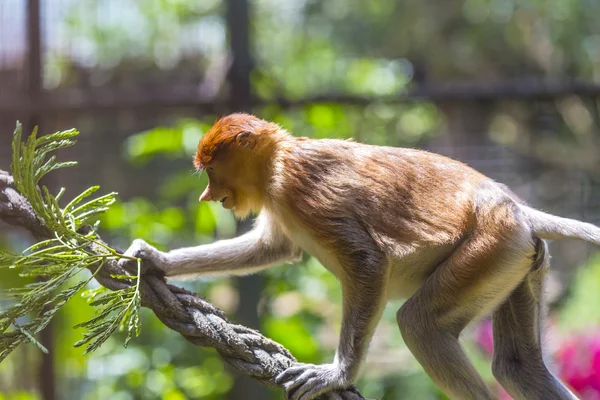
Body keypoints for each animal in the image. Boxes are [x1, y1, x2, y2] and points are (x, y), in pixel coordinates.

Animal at [118, 112, 596, 400]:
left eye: (212, 170)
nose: (207, 196)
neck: (280, 160)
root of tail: (515, 208)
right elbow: (271, 248)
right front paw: (150, 258)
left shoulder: (302, 188)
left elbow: (366, 260)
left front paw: (337, 374)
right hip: (518, 258)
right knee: (517, 366)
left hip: (489, 248)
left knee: (419, 324)